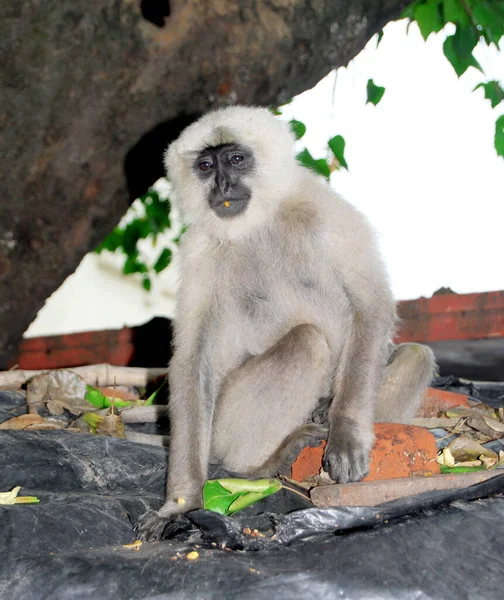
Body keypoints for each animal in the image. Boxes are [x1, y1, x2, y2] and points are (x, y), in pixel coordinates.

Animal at [136, 105, 436, 540]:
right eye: (206, 166)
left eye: (236, 160)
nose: (223, 184)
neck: (260, 224)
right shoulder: (199, 249)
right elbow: (194, 362)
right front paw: (181, 504)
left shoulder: (326, 212)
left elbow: (371, 306)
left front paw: (346, 433)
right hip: (224, 427)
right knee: (306, 341)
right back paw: (259, 467)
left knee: (415, 355)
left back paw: (324, 414)